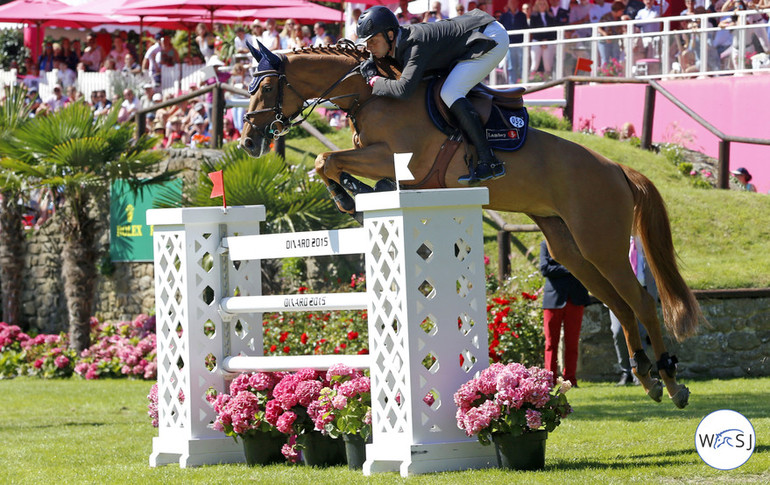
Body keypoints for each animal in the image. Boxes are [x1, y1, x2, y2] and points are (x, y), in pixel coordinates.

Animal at [240, 40, 704, 408]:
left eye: (267, 87)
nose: (247, 141)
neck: (370, 96)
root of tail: (618, 170)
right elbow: (332, 162)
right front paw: (354, 191)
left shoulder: (398, 158)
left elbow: (326, 158)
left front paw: (347, 194)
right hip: (569, 247)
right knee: (619, 305)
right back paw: (646, 378)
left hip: (600, 242)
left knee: (640, 301)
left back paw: (670, 381)